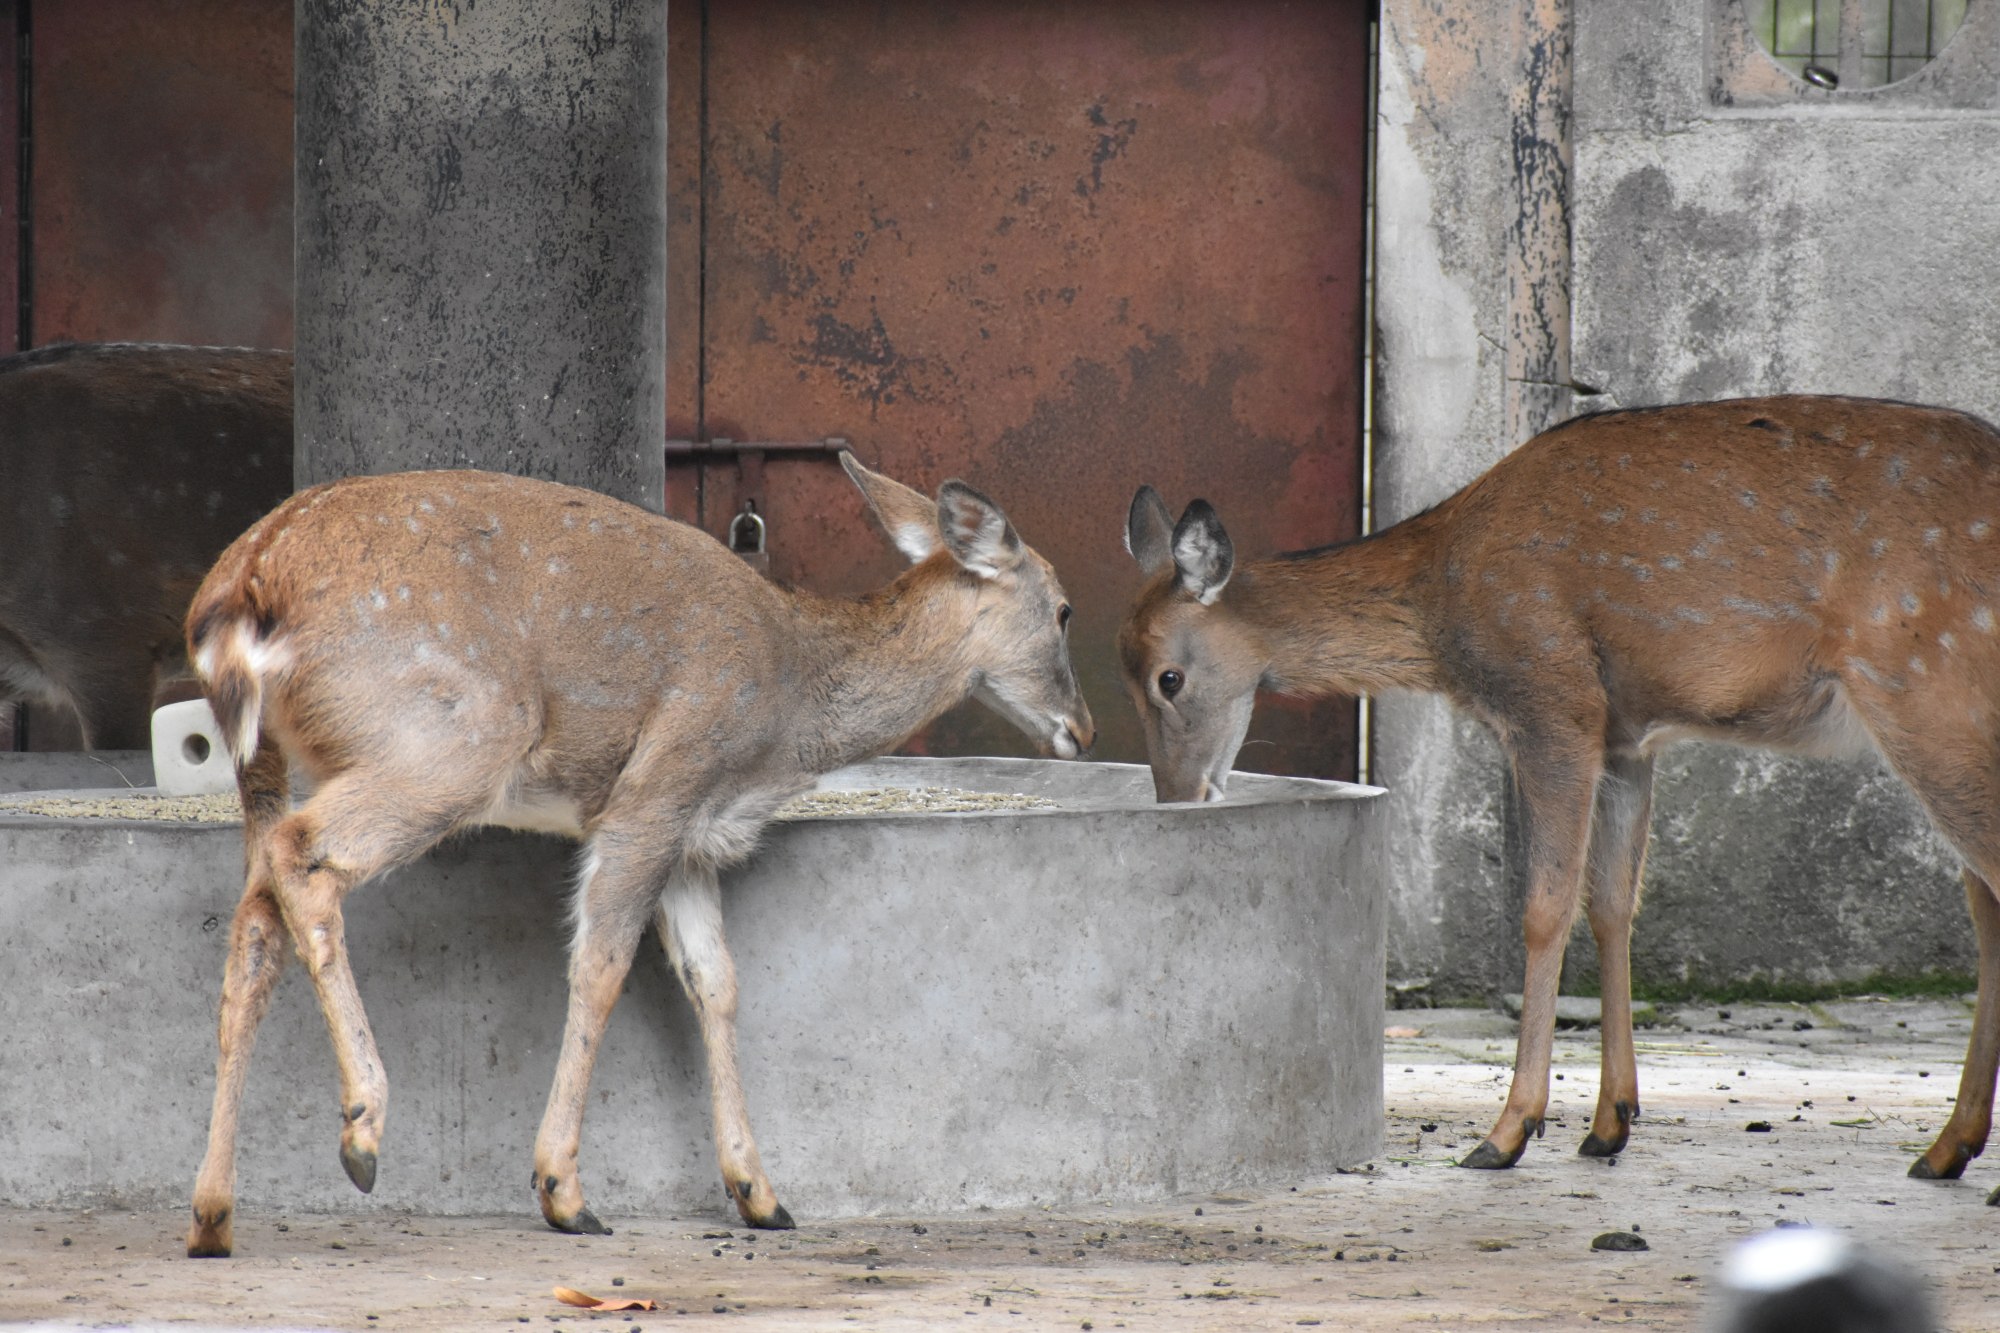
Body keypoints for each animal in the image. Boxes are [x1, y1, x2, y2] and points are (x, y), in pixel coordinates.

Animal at [183, 454, 1093, 1257]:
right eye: (1063, 609)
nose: (1082, 729)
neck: (787, 714)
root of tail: (240, 588)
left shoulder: (692, 842)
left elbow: (716, 981)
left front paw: (761, 1194)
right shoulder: (655, 792)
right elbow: (602, 964)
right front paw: (564, 1193)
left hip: (274, 761)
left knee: (255, 919)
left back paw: (213, 1212)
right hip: (449, 737)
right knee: (304, 858)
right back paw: (364, 1131)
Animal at [1121, 395, 2000, 1196]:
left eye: (1169, 678)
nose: (1175, 798)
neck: (1440, 603)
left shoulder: (1553, 699)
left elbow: (1545, 908)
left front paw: (1508, 1129)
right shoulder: (1628, 738)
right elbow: (1612, 901)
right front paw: (1611, 1120)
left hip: (1924, 686)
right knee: (1982, 898)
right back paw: (1947, 1147)